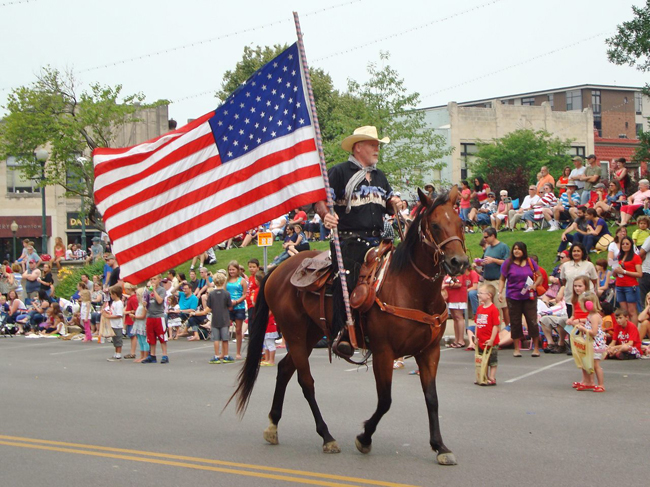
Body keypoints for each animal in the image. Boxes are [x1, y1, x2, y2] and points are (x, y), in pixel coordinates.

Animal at [230, 186, 468, 466]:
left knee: (285, 370)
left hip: (310, 334)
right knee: (305, 381)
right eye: (435, 225)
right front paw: (364, 438)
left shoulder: (430, 352)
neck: (411, 289)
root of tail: (277, 270)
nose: (459, 262)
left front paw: (440, 446)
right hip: (295, 335)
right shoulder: (384, 352)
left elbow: (432, 399)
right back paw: (326, 436)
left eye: (460, 223)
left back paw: (273, 425)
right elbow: (385, 400)